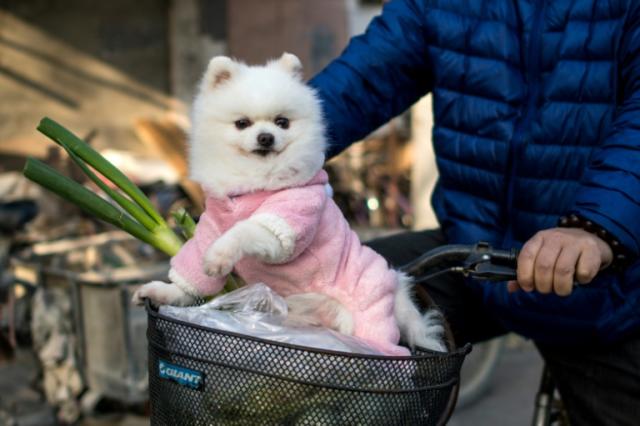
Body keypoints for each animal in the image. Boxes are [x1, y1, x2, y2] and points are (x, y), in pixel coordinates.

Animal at [133, 52, 448, 352]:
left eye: (282, 122)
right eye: (242, 123)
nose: (265, 137)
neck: (254, 181)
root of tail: (397, 293)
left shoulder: (286, 223)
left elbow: (243, 230)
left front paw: (220, 256)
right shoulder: (209, 229)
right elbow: (193, 276)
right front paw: (166, 292)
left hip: (368, 315)